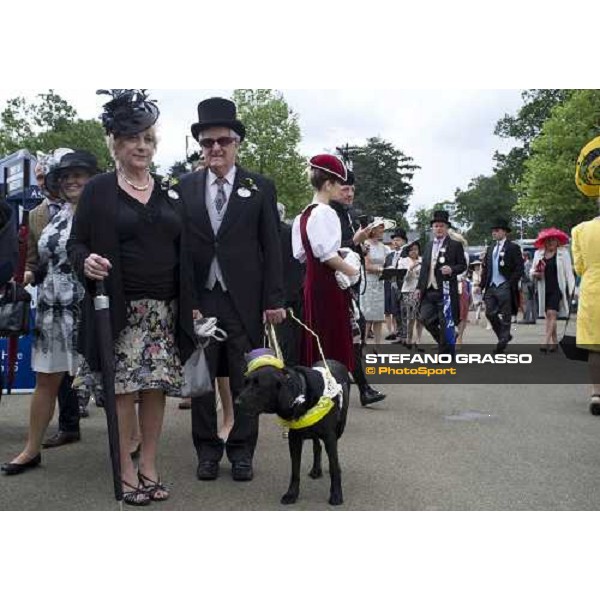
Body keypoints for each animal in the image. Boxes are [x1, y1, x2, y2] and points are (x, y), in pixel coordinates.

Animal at [237, 360, 350, 506]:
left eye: (258, 386)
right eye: (245, 383)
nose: (236, 402)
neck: (301, 395)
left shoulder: (330, 437)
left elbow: (333, 467)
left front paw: (336, 494)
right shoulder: (294, 439)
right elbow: (295, 470)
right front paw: (292, 494)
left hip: (339, 429)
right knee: (317, 446)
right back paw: (316, 470)